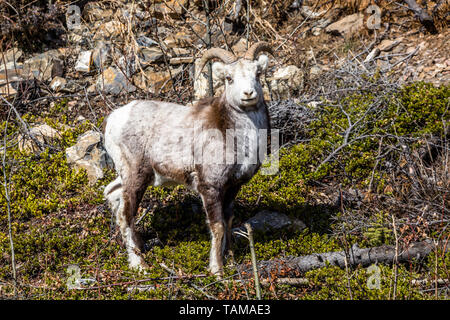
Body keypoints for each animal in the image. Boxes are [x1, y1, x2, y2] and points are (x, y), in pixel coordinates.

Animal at [104, 42, 274, 278]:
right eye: (229, 78)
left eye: (257, 73)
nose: (248, 94)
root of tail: (114, 120)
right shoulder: (210, 188)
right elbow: (217, 226)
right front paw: (217, 271)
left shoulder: (232, 187)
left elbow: (229, 221)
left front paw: (230, 261)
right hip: (135, 178)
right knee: (125, 215)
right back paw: (140, 265)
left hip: (131, 176)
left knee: (111, 194)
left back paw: (140, 248)